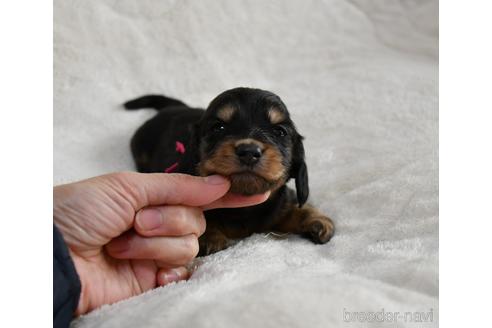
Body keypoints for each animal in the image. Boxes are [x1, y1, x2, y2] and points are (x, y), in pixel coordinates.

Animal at [125, 88, 336, 256]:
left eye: (279, 131)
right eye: (219, 127)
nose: (249, 151)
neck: (243, 209)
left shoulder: (277, 207)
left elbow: (292, 208)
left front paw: (317, 220)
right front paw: (209, 237)